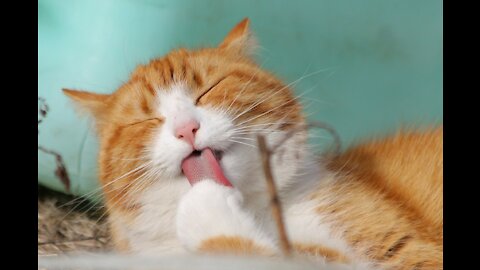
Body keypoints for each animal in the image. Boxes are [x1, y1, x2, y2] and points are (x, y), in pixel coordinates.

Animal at [62, 19, 442, 270]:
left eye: (209, 89)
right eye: (145, 120)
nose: (186, 128)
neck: (254, 211)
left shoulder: (409, 253)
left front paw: (208, 209)